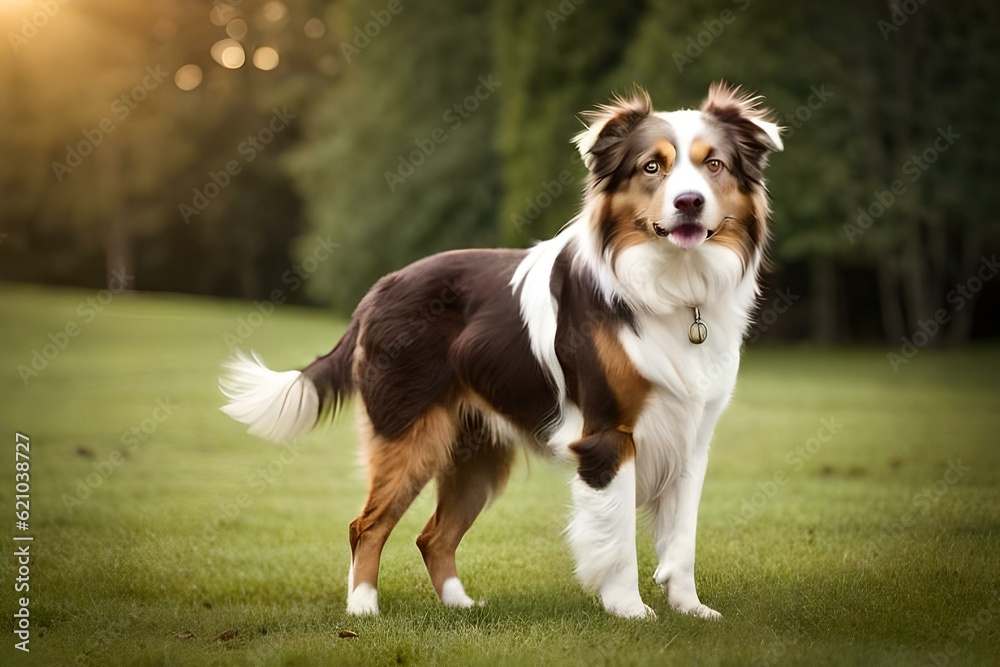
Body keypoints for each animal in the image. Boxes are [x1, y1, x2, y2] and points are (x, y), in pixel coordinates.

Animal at [219, 82, 780, 620]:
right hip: (410, 435)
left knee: (433, 535)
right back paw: (362, 609)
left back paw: (458, 605)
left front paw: (690, 609)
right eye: (651, 167)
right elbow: (617, 540)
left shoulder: (690, 437)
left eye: (713, 165)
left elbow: (681, 542)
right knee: (367, 525)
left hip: (476, 454)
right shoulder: (607, 435)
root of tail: (380, 287)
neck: (674, 288)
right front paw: (629, 610)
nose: (689, 202)